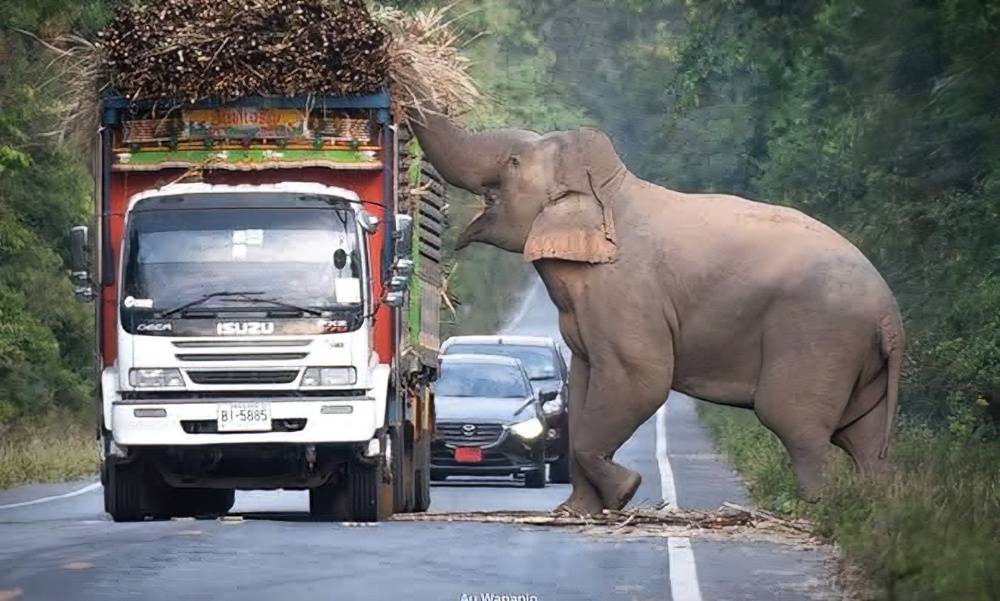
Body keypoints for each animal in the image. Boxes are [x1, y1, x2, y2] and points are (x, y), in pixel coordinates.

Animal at [408, 110, 908, 512]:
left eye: (513, 162)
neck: (610, 189)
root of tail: (890, 314)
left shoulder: (625, 290)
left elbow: (640, 379)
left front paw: (626, 491)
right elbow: (585, 384)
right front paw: (575, 513)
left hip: (819, 338)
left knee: (797, 424)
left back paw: (812, 514)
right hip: (859, 362)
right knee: (861, 438)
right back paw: (873, 514)